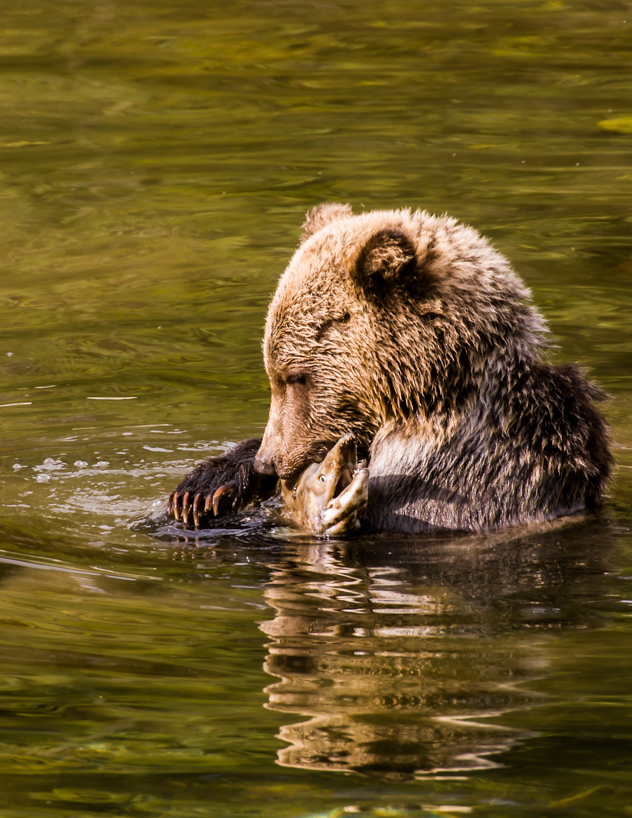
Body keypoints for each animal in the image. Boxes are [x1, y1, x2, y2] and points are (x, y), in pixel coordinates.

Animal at [169, 203, 612, 535]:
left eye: (295, 377)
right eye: (273, 375)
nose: (269, 462)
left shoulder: (458, 479)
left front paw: (323, 498)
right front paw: (202, 490)